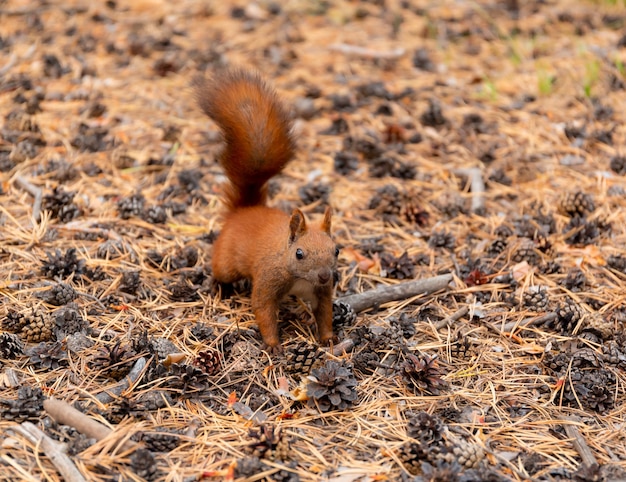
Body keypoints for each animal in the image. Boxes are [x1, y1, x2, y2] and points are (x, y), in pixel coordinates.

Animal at [196, 68, 336, 350]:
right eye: (299, 254)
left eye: (337, 250)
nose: (325, 276)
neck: (300, 279)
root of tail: (246, 209)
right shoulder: (268, 280)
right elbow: (263, 309)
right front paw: (272, 345)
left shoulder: (321, 293)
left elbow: (325, 313)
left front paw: (327, 338)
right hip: (227, 261)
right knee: (221, 270)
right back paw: (216, 285)